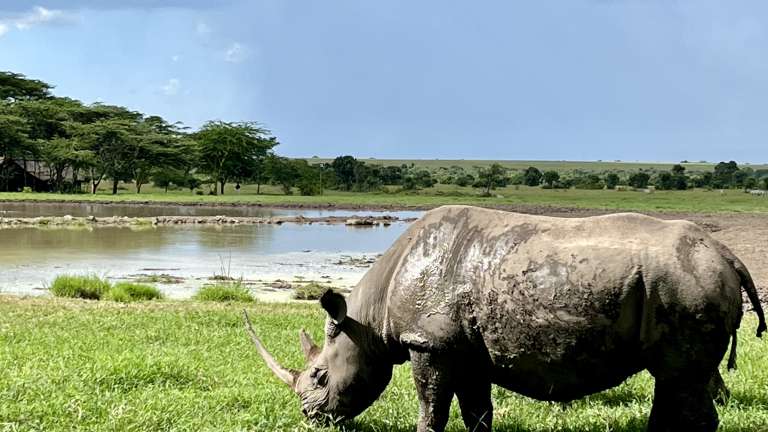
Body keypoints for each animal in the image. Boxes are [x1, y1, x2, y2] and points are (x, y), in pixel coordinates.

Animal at [244, 206, 766, 432]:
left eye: (319, 375)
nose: (310, 416)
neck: (368, 319)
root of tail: (728, 254)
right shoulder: (465, 349)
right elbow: (477, 412)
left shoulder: (428, 342)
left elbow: (431, 407)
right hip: (680, 281)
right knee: (672, 379)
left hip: (685, 282)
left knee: (681, 378)